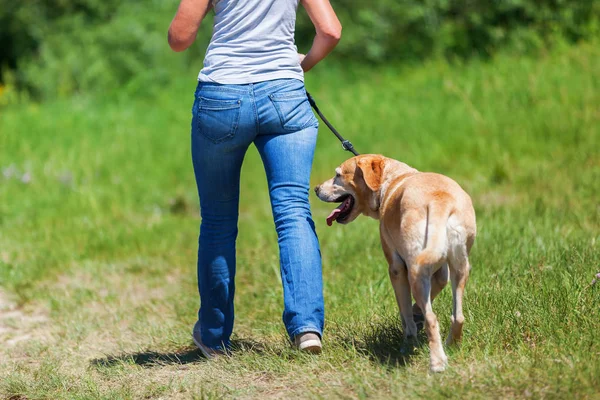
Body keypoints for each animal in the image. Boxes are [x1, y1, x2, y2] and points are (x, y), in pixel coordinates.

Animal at [316, 154, 476, 372]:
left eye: (338, 175)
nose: (316, 188)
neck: (391, 179)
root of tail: (439, 199)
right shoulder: (441, 271)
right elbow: (434, 288)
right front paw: (417, 313)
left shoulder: (396, 269)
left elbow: (405, 313)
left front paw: (408, 342)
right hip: (459, 266)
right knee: (458, 316)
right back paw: (451, 345)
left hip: (415, 271)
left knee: (432, 319)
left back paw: (437, 362)